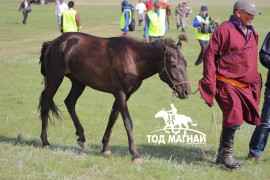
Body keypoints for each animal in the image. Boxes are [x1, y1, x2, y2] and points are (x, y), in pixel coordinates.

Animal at [38, 32, 191, 163]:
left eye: (185, 64)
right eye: (173, 65)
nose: (186, 91)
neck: (132, 58)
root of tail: (53, 42)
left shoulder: (125, 95)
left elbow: (113, 118)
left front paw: (105, 147)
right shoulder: (120, 93)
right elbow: (127, 122)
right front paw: (135, 154)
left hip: (78, 82)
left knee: (69, 102)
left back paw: (81, 136)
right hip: (55, 79)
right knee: (46, 105)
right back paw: (45, 142)